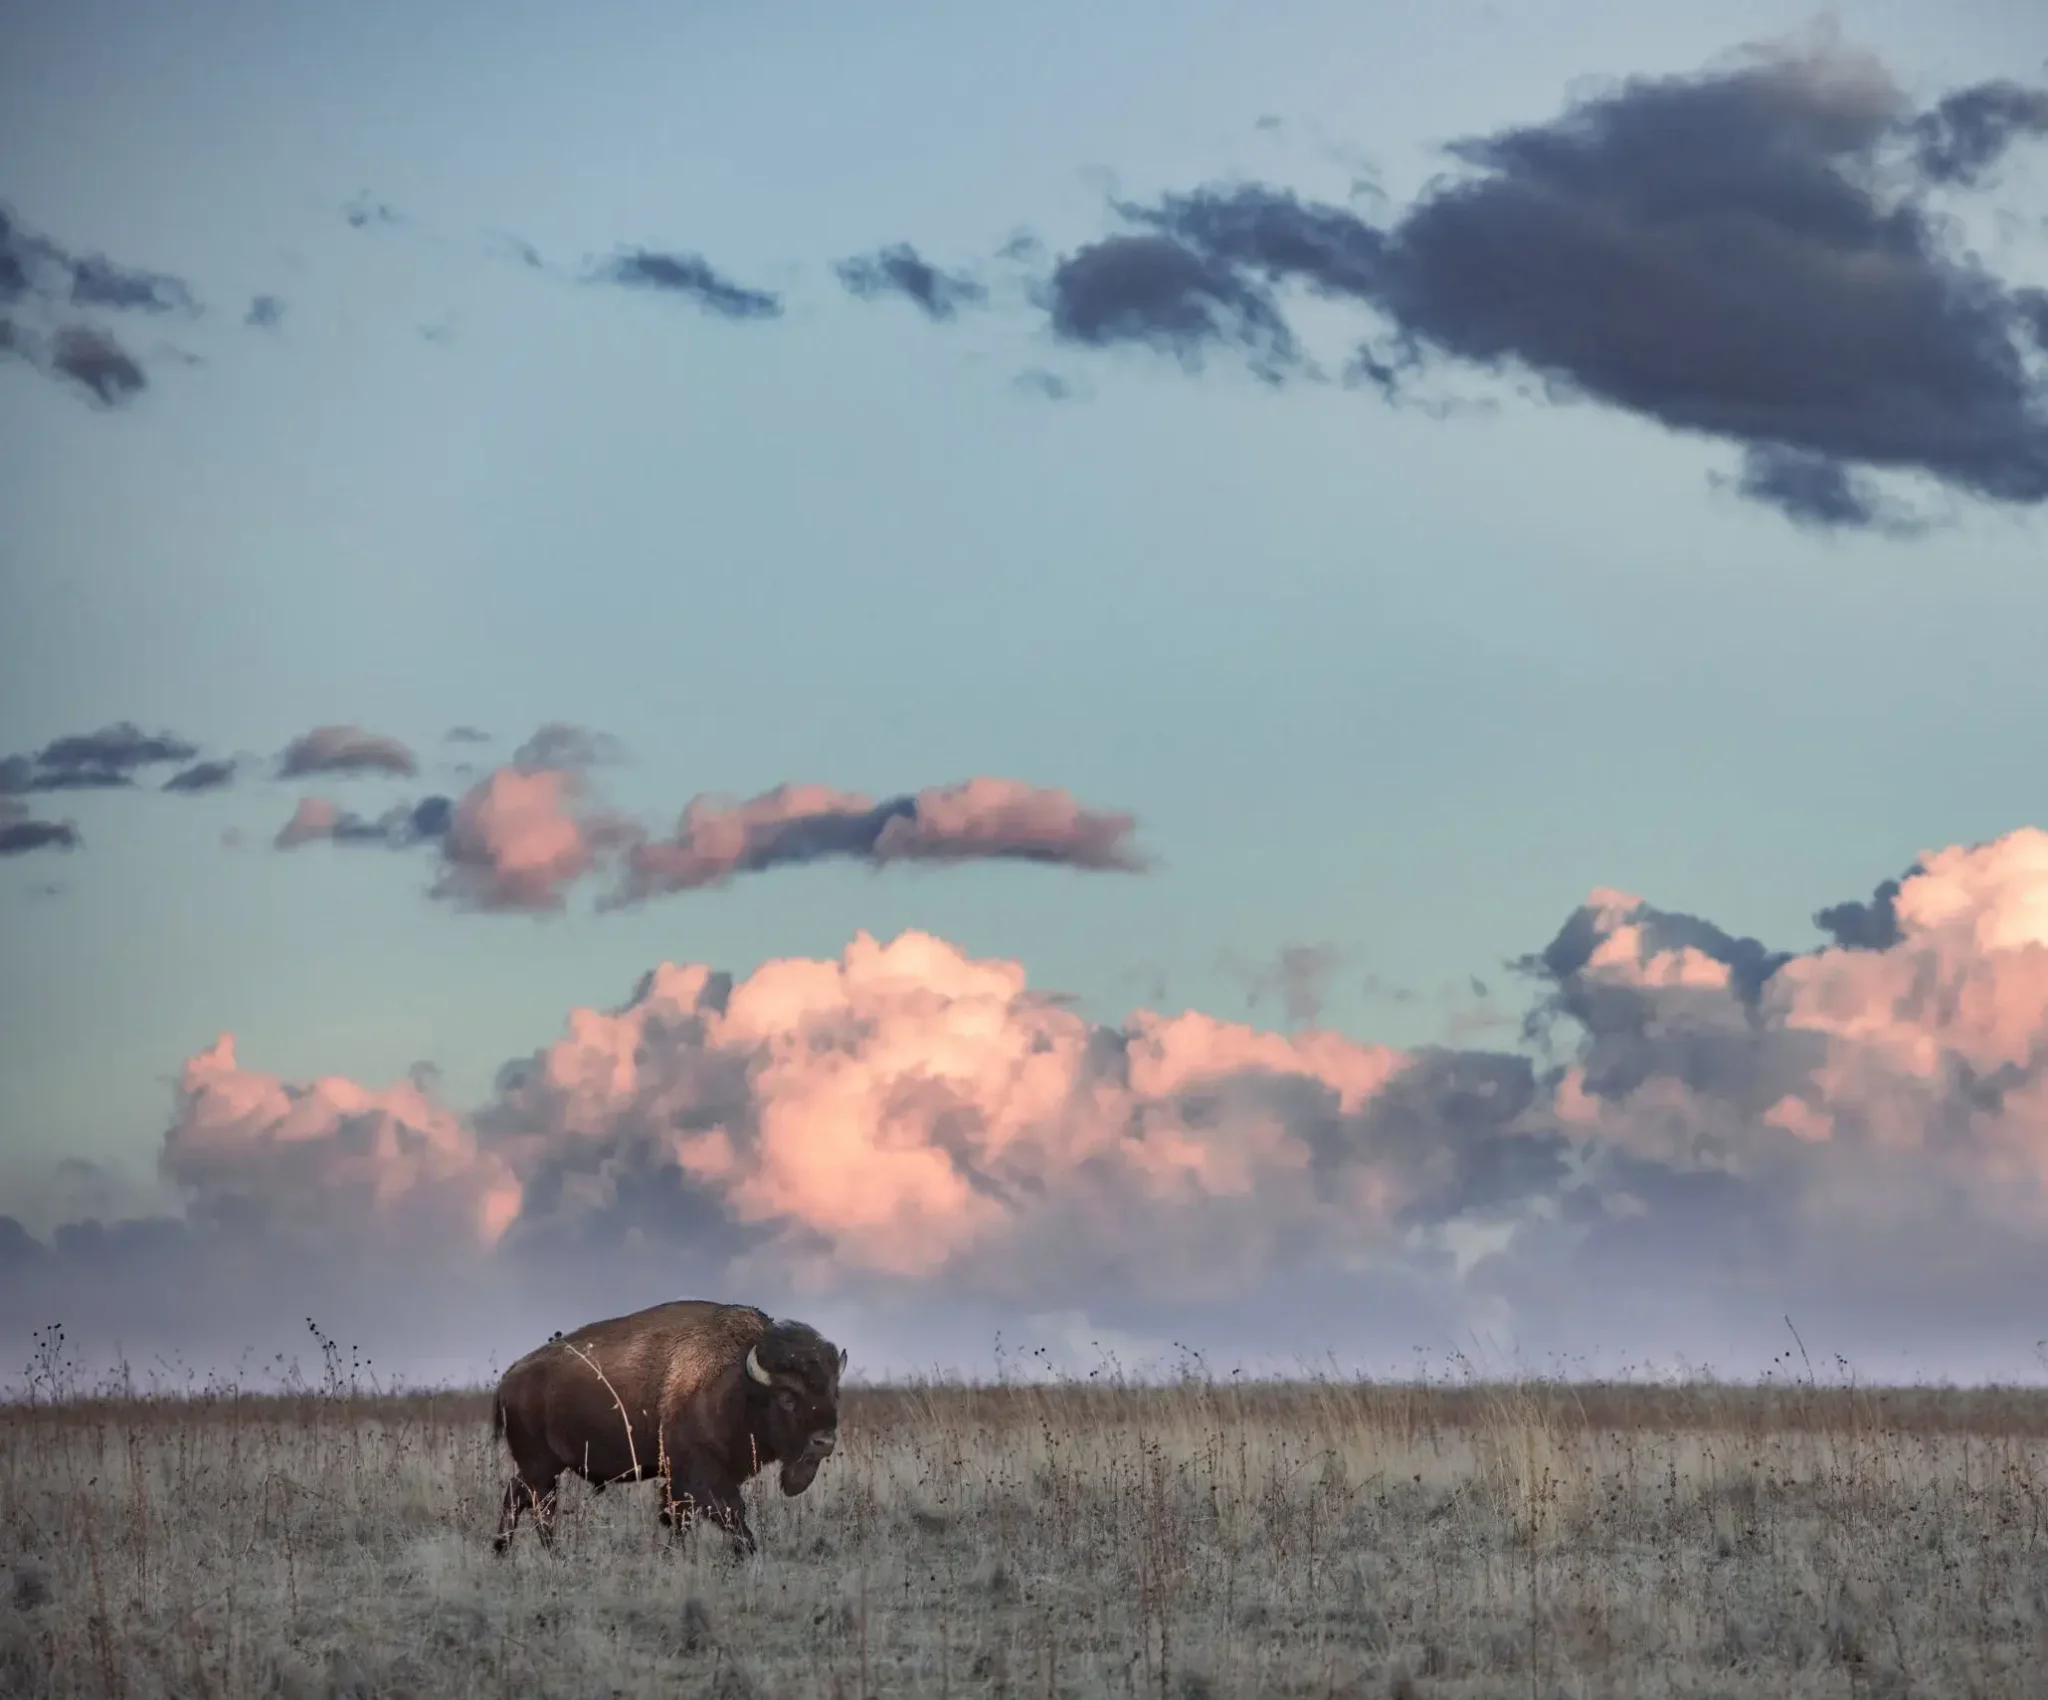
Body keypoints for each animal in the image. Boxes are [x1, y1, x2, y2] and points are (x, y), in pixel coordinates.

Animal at [490, 1298, 846, 1558]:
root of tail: (509, 1377)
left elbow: (681, 1518)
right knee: (537, 1505)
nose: (824, 1441)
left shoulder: (688, 1480)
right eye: (787, 1397)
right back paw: (549, 1554)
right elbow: (731, 1513)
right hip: (541, 1466)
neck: (738, 1382)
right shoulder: (701, 1475)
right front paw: (747, 1554)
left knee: (519, 1497)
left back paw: (504, 1551)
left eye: (834, 1392)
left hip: (541, 1468)